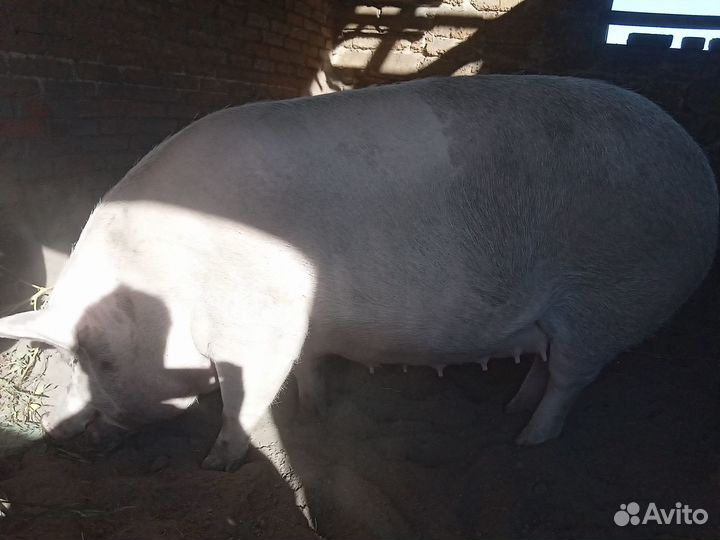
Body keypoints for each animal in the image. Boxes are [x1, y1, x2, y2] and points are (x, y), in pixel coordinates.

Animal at [0, 75, 717, 471]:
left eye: (100, 359)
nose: (61, 436)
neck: (168, 282)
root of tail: (700, 171)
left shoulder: (260, 327)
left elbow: (243, 401)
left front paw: (216, 464)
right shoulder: (304, 325)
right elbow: (311, 366)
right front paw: (314, 414)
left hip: (610, 301)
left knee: (570, 380)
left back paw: (525, 444)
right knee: (543, 363)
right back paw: (512, 411)